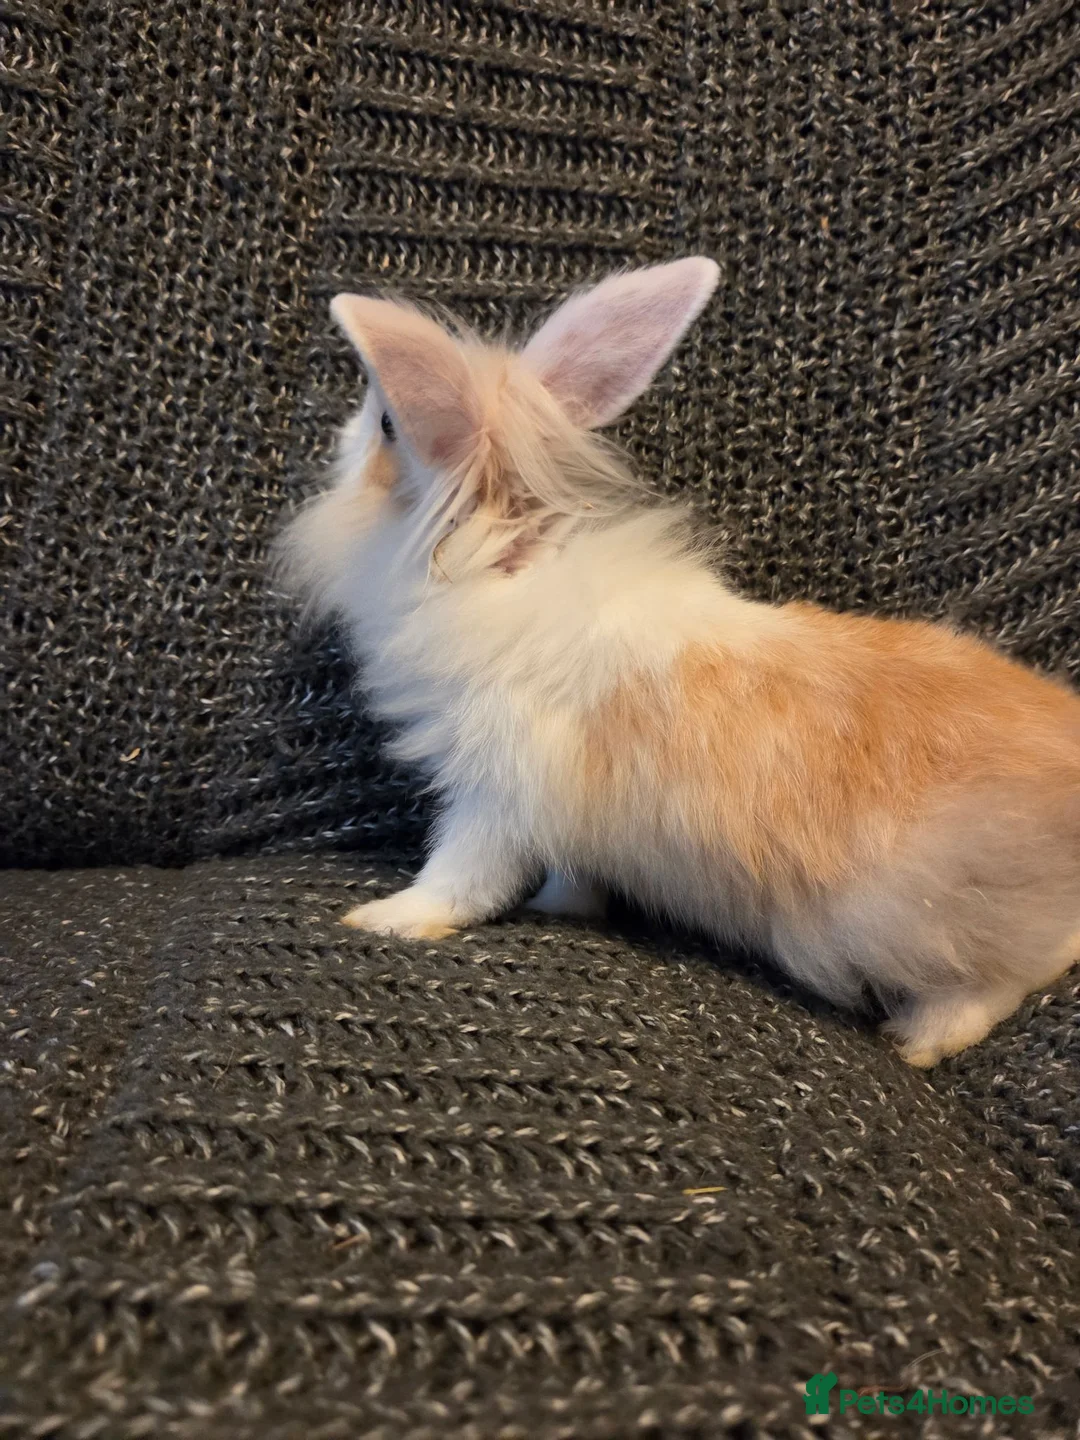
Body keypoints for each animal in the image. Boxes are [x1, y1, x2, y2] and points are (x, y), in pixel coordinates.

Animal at [280, 257, 1080, 1067]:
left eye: (388, 425)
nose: (340, 434)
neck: (497, 565)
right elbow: (569, 868)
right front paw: (566, 908)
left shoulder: (499, 794)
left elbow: (461, 873)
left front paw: (389, 918)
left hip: (916, 920)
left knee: (1009, 976)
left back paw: (921, 1041)